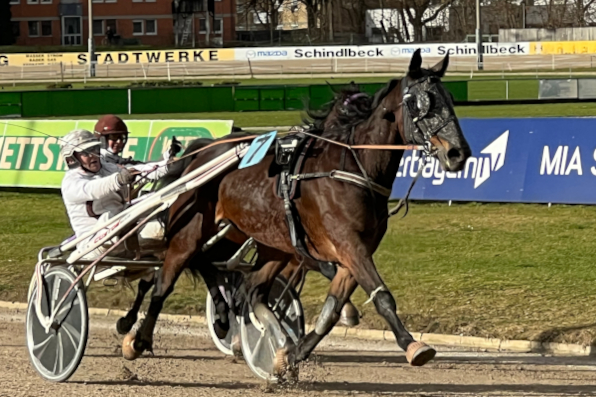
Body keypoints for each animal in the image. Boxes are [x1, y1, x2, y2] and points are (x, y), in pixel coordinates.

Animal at [123, 48, 472, 372]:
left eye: (450, 99)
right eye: (420, 103)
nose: (458, 153)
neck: (350, 168)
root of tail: (199, 152)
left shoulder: (355, 250)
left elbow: (333, 307)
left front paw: (293, 354)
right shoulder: (347, 244)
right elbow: (382, 296)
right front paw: (413, 344)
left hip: (264, 243)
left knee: (250, 290)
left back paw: (260, 333)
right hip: (193, 230)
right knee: (167, 279)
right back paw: (139, 337)